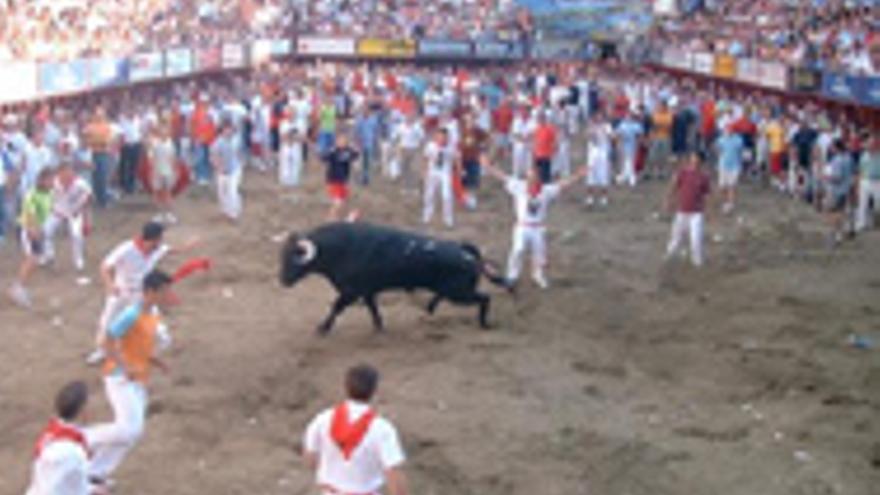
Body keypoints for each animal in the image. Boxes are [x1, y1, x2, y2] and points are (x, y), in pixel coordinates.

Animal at [278, 223, 512, 336]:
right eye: (282, 256)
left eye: (293, 258)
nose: (283, 281)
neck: (341, 248)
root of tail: (465, 251)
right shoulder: (366, 291)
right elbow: (373, 308)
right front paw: (379, 326)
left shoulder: (351, 292)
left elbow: (336, 307)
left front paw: (322, 328)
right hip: (455, 290)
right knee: (444, 295)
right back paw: (429, 308)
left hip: (460, 292)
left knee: (485, 298)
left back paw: (484, 324)